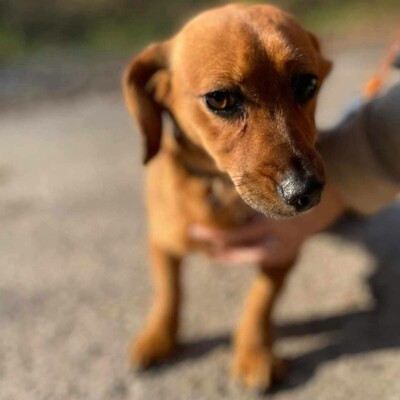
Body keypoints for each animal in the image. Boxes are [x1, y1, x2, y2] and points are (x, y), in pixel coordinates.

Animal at [124, 3, 332, 390]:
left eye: (308, 84)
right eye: (219, 99)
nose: (306, 192)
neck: (221, 188)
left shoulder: (282, 249)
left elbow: (260, 301)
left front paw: (253, 352)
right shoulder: (162, 242)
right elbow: (168, 292)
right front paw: (158, 336)